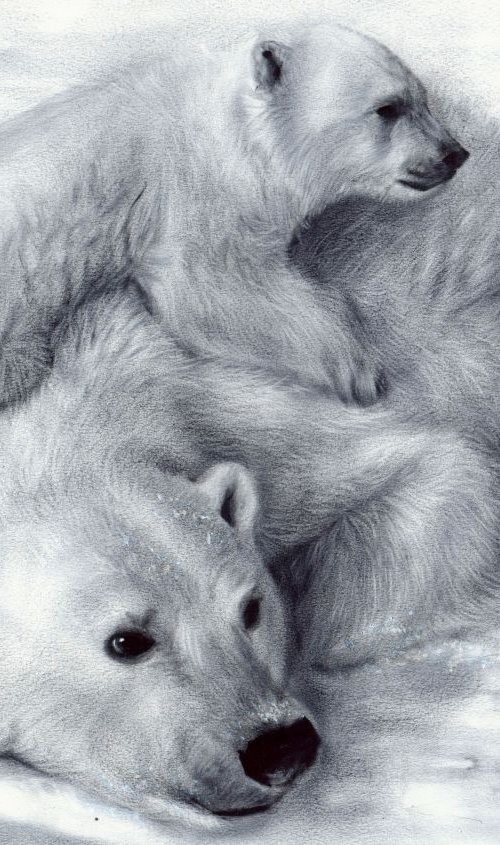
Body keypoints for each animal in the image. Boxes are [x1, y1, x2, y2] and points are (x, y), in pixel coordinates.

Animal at [0, 22, 468, 409]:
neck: (234, 128)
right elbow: (208, 286)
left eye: (423, 100)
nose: (455, 154)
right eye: (388, 108)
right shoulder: (195, 188)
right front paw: (358, 371)